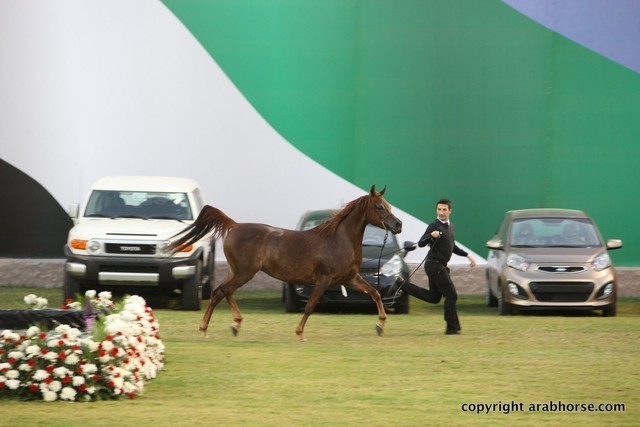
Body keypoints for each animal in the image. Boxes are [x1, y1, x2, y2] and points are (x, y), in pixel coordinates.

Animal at [169, 185, 402, 341]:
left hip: (236, 272)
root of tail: (234, 225)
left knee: (223, 292)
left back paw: (234, 325)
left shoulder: (350, 279)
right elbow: (309, 306)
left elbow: (375, 293)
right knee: (221, 292)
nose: (398, 225)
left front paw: (380, 325)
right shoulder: (324, 279)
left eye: (389, 206)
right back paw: (206, 329)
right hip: (245, 273)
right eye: (379, 207)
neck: (338, 240)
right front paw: (300, 334)